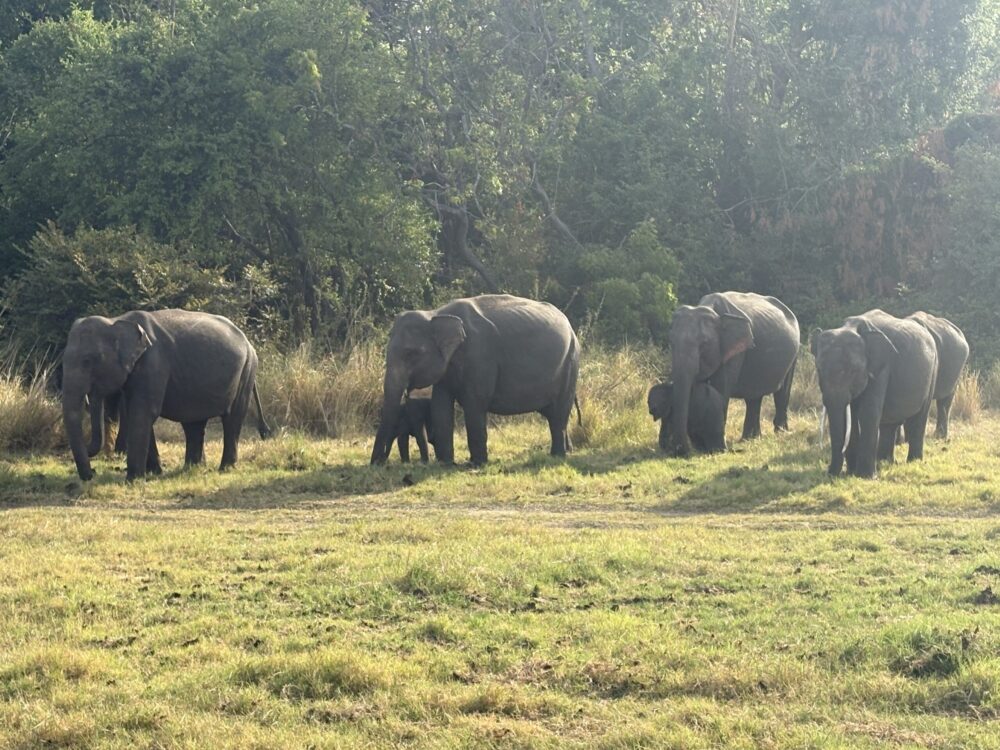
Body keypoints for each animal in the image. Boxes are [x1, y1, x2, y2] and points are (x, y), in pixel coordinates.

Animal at [62, 309, 271, 481]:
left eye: (88, 360)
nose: (91, 474)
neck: (115, 320)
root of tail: (248, 341)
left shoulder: (154, 363)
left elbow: (143, 412)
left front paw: (134, 480)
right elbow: (135, 412)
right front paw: (153, 473)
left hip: (247, 370)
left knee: (232, 419)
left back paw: (225, 469)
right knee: (193, 423)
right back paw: (192, 468)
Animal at [370, 294, 580, 466]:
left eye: (411, 354)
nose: (377, 463)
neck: (436, 314)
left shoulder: (480, 356)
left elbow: (475, 403)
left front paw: (476, 464)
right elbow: (440, 405)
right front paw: (446, 463)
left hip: (571, 362)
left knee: (559, 412)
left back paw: (557, 455)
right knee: (553, 414)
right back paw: (567, 450)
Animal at [666, 291, 800, 456]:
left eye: (703, 344)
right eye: (671, 342)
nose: (681, 451)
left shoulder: (734, 351)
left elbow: (720, 390)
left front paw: (717, 449)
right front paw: (703, 447)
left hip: (794, 354)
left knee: (782, 392)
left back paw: (780, 433)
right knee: (754, 397)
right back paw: (750, 439)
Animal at [811, 309, 937, 478]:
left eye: (853, 371)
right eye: (819, 370)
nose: (830, 474)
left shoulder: (882, 367)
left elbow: (867, 413)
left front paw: (865, 477)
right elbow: (851, 415)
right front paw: (851, 473)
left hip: (933, 370)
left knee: (919, 418)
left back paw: (913, 461)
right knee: (889, 424)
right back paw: (885, 461)